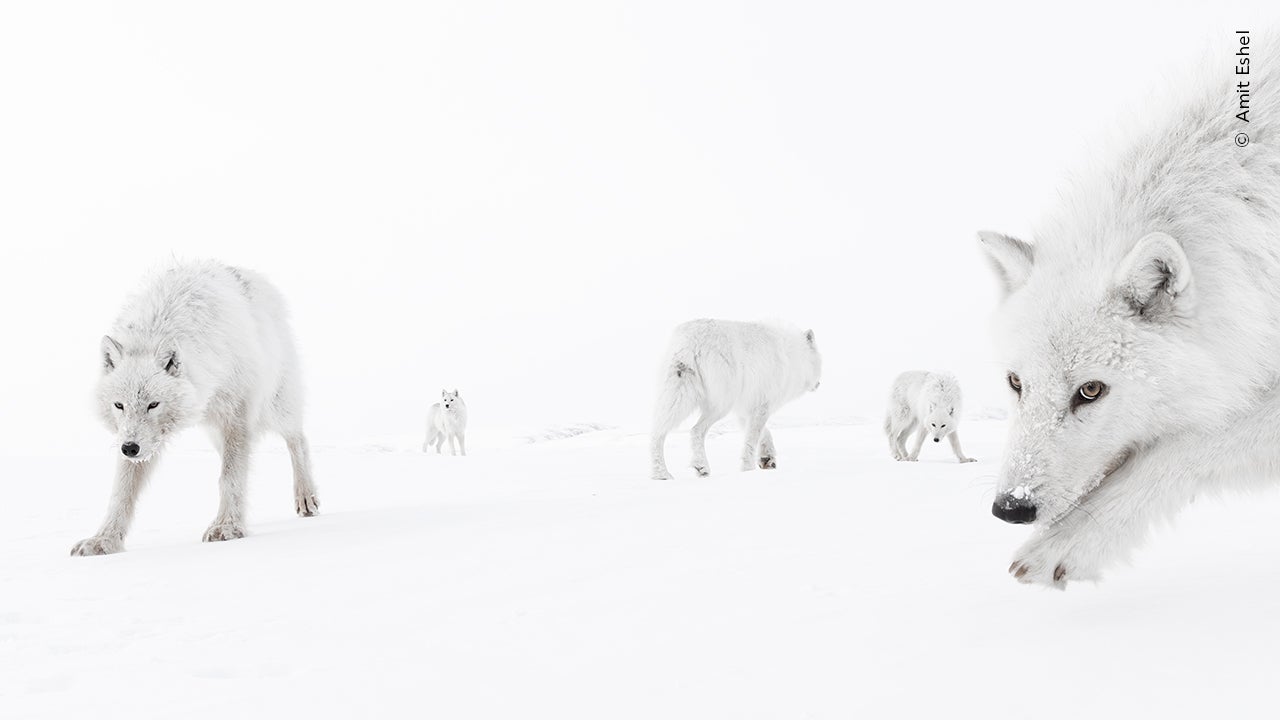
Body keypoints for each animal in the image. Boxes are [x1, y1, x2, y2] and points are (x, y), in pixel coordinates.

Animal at [71, 261, 319, 556]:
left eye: (153, 404)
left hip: (274, 407)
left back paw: (306, 497)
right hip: (215, 432)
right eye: (119, 405)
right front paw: (104, 541)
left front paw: (227, 527)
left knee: (298, 439)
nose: (129, 448)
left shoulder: (236, 417)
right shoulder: (137, 440)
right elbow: (121, 493)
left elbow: (230, 477)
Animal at [649, 319, 822, 481]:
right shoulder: (761, 407)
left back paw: (664, 474)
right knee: (695, 430)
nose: (819, 384)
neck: (793, 355)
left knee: (659, 432)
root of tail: (693, 339)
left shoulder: (746, 409)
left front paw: (767, 458)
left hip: (678, 397)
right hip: (720, 406)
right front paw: (748, 469)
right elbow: (752, 439)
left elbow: (765, 433)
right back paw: (697, 467)